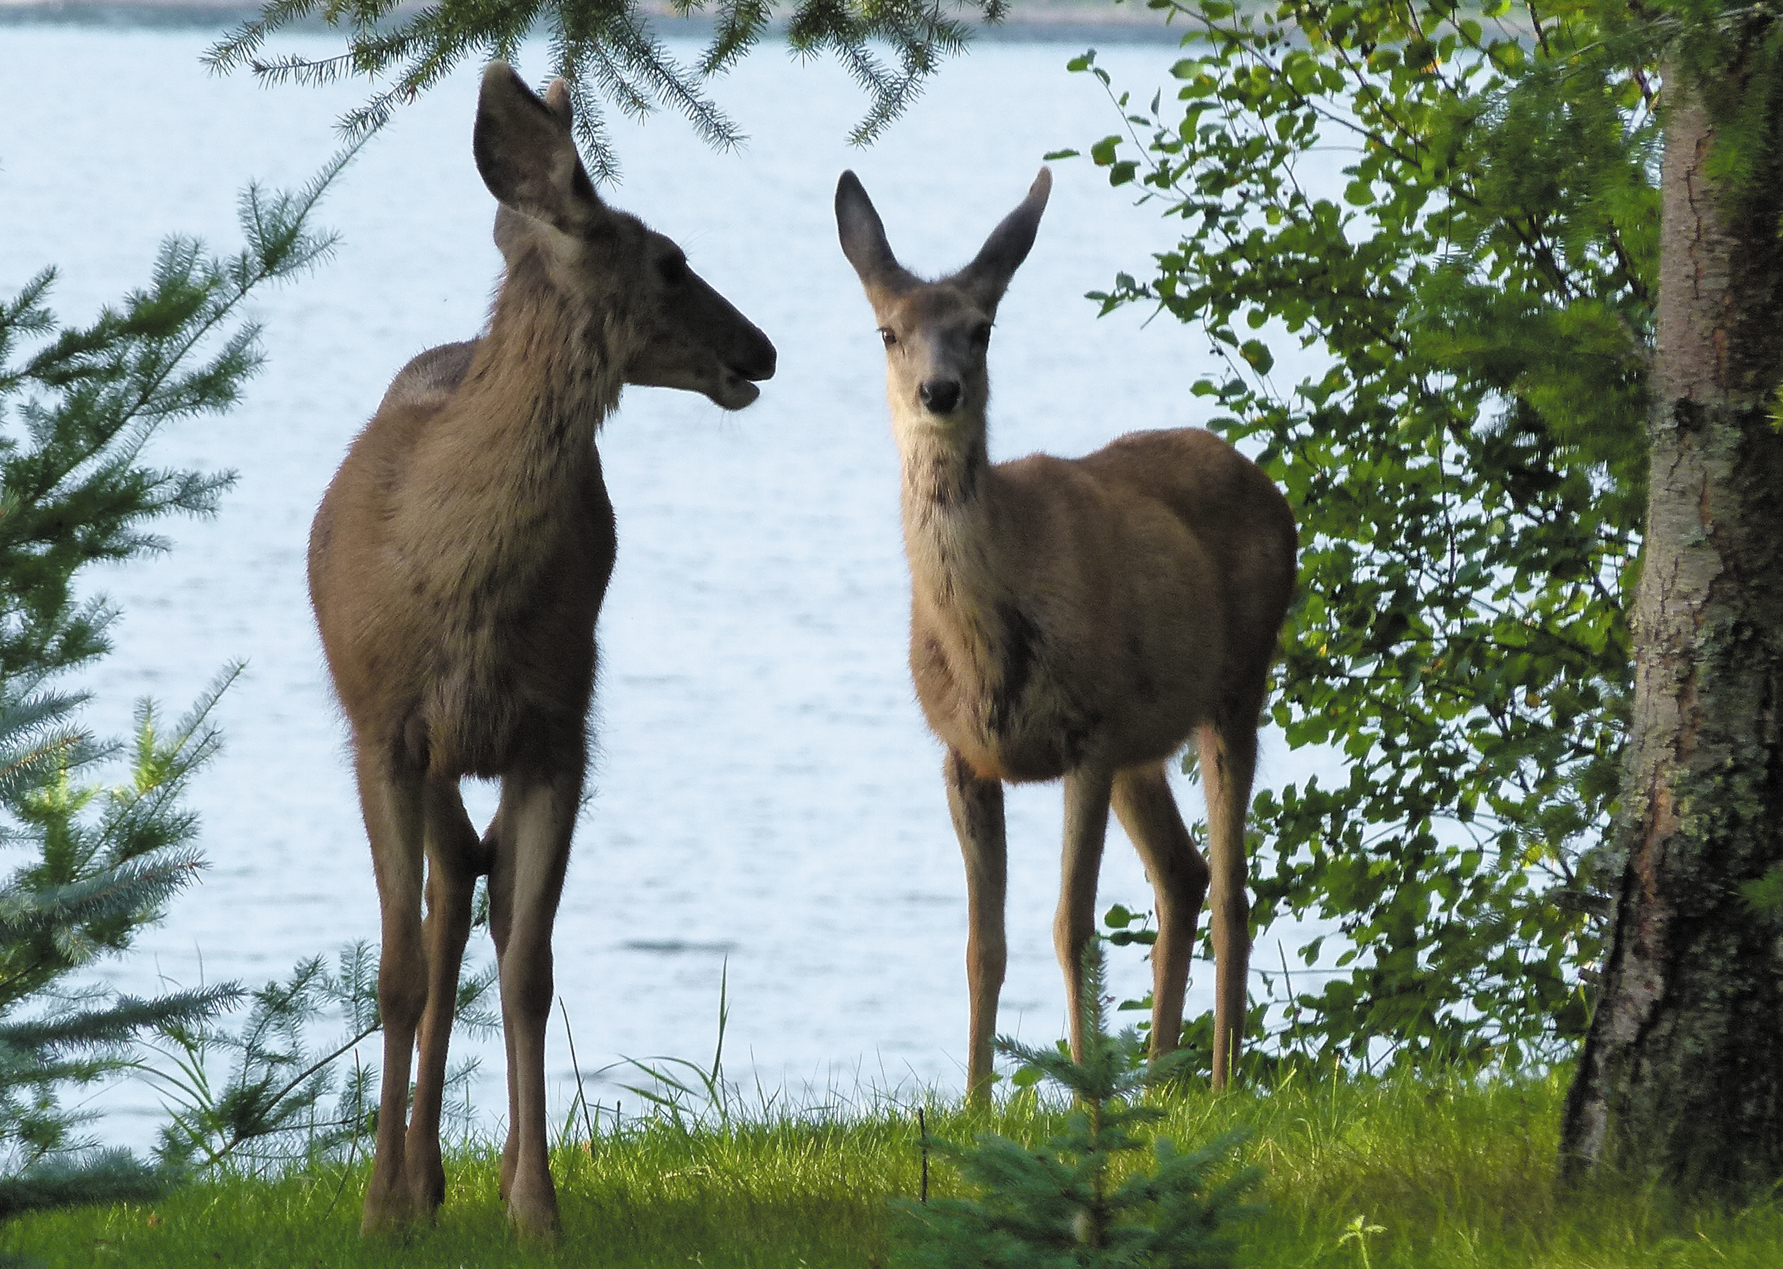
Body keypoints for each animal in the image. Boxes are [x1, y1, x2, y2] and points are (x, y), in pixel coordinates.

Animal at [307, 62, 775, 1243]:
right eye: (670, 259)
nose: (760, 348)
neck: (462, 586)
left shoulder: (561, 727)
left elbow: (529, 969)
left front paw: (535, 1205)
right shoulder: (382, 728)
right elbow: (395, 969)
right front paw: (379, 1208)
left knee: (472, 895)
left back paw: (450, 1172)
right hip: (416, 750)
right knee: (441, 910)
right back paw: (416, 1180)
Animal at [834, 166, 1296, 1097]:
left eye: (980, 329)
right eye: (888, 331)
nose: (940, 392)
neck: (985, 647)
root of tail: (1272, 490)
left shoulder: (1087, 731)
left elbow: (1069, 928)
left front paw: (1085, 1098)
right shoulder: (963, 755)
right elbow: (982, 945)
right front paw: (973, 1104)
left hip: (1233, 686)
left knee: (1231, 887)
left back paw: (1217, 1083)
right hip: (1144, 741)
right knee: (1182, 875)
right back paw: (1158, 1080)